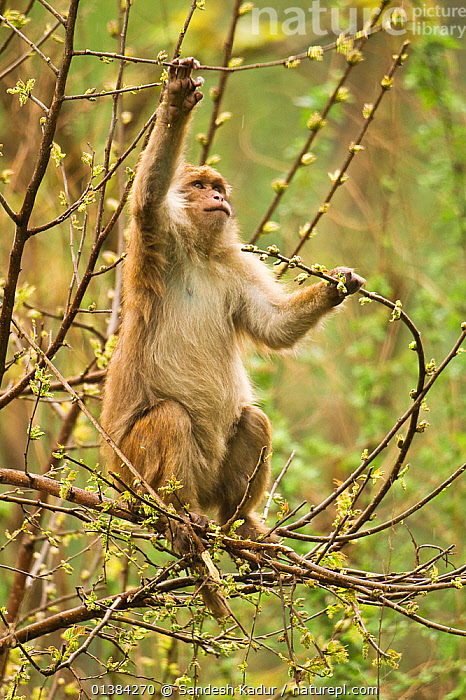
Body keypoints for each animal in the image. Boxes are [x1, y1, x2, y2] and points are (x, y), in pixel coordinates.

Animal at [101, 57, 365, 549]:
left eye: (218, 187)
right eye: (200, 185)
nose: (219, 197)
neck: (198, 254)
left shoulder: (235, 267)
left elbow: (273, 326)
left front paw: (336, 287)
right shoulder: (156, 237)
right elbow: (148, 195)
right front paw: (177, 102)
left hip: (212, 478)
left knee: (252, 420)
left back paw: (239, 521)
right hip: (133, 476)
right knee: (170, 418)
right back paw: (178, 514)